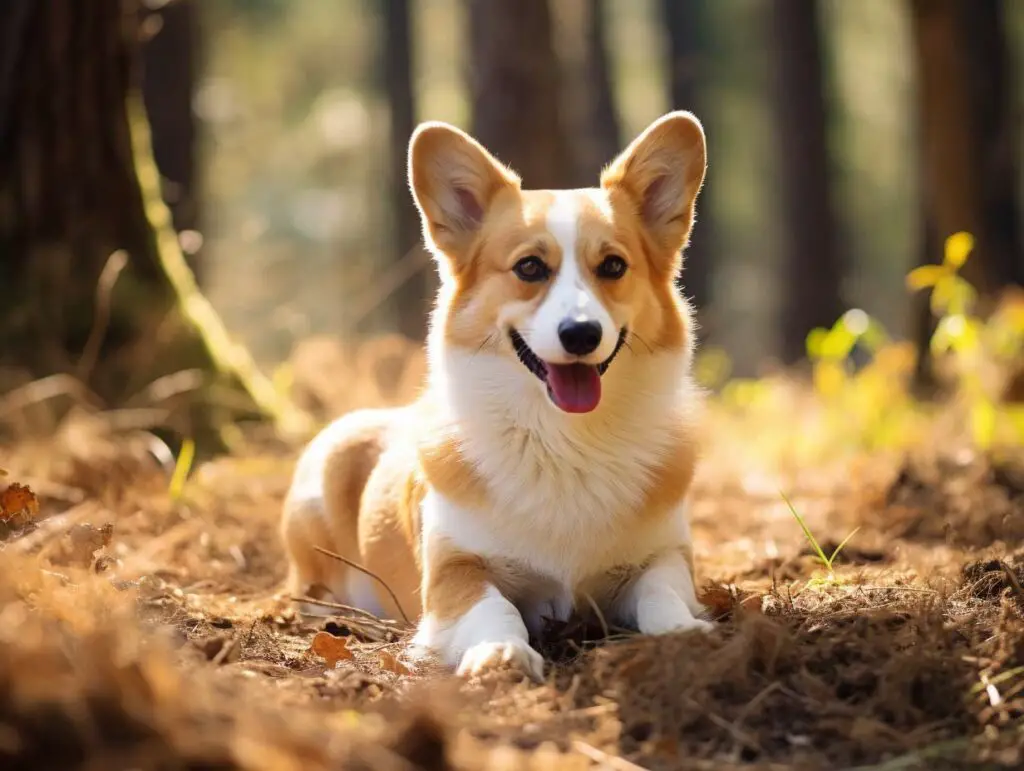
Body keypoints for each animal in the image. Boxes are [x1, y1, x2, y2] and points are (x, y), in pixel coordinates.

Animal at [280, 109, 712, 679]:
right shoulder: (455, 569)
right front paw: (501, 652)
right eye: (529, 267)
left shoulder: (666, 554)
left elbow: (663, 591)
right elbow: (494, 607)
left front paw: (683, 632)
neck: (566, 439)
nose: (581, 334)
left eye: (613, 266)